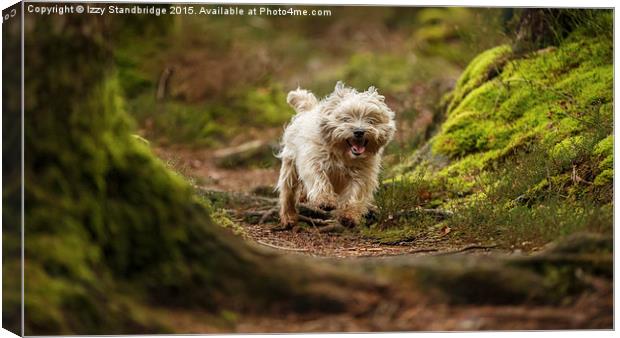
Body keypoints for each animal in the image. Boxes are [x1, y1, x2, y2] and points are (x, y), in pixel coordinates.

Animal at [278, 81, 394, 227]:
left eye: (370, 120)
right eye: (346, 119)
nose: (359, 131)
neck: (343, 155)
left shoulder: (362, 175)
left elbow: (355, 193)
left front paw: (348, 215)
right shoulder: (314, 162)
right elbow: (319, 179)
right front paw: (325, 200)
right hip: (289, 165)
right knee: (288, 192)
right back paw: (289, 216)